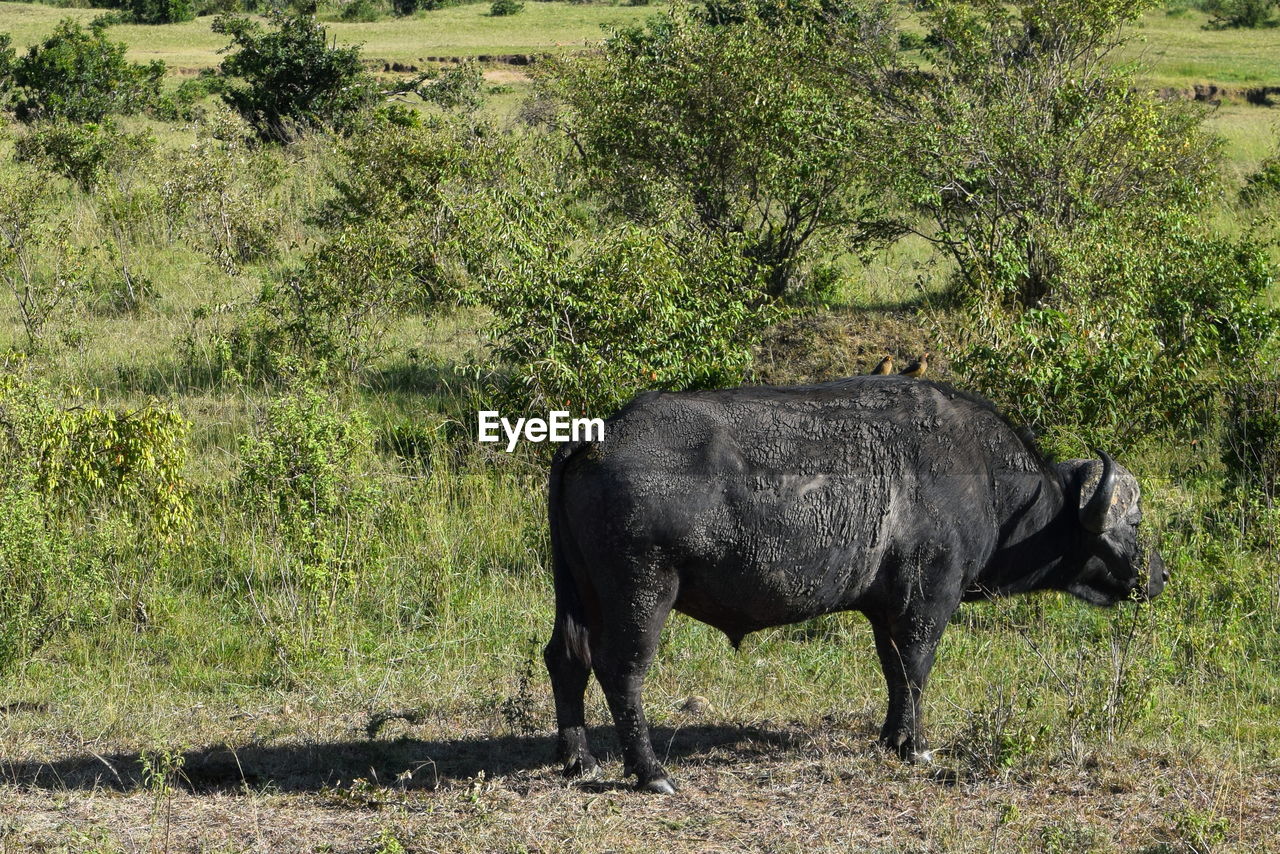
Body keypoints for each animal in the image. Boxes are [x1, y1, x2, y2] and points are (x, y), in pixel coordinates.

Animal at [545, 376, 1167, 793]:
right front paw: (915, 747)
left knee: (566, 659)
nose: (1158, 575)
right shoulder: (928, 600)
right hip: (642, 594)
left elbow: (894, 672)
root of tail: (595, 438)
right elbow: (916, 670)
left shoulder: (883, 608)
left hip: (579, 593)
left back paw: (579, 758)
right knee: (622, 671)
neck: (985, 481)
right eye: (1135, 522)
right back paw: (651, 772)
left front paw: (893, 738)